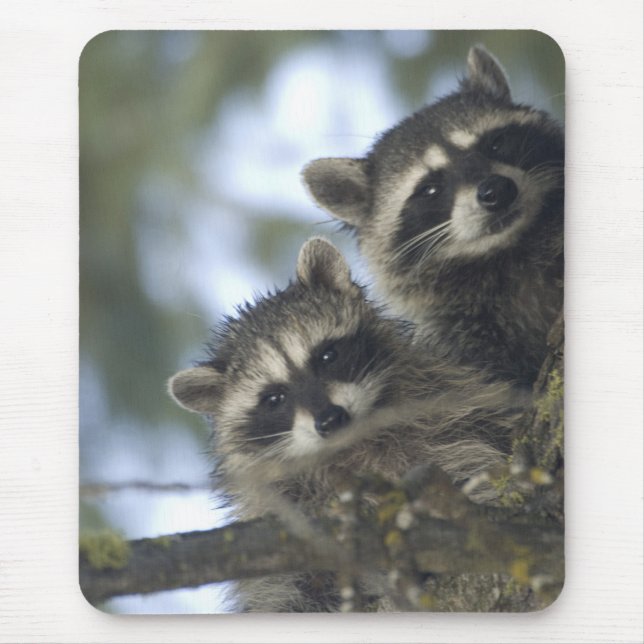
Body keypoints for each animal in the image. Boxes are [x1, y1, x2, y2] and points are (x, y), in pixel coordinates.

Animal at [168, 237, 524, 612]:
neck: (354, 445)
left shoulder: (447, 409)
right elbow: (278, 589)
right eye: (274, 398)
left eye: (327, 355)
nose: (330, 419)